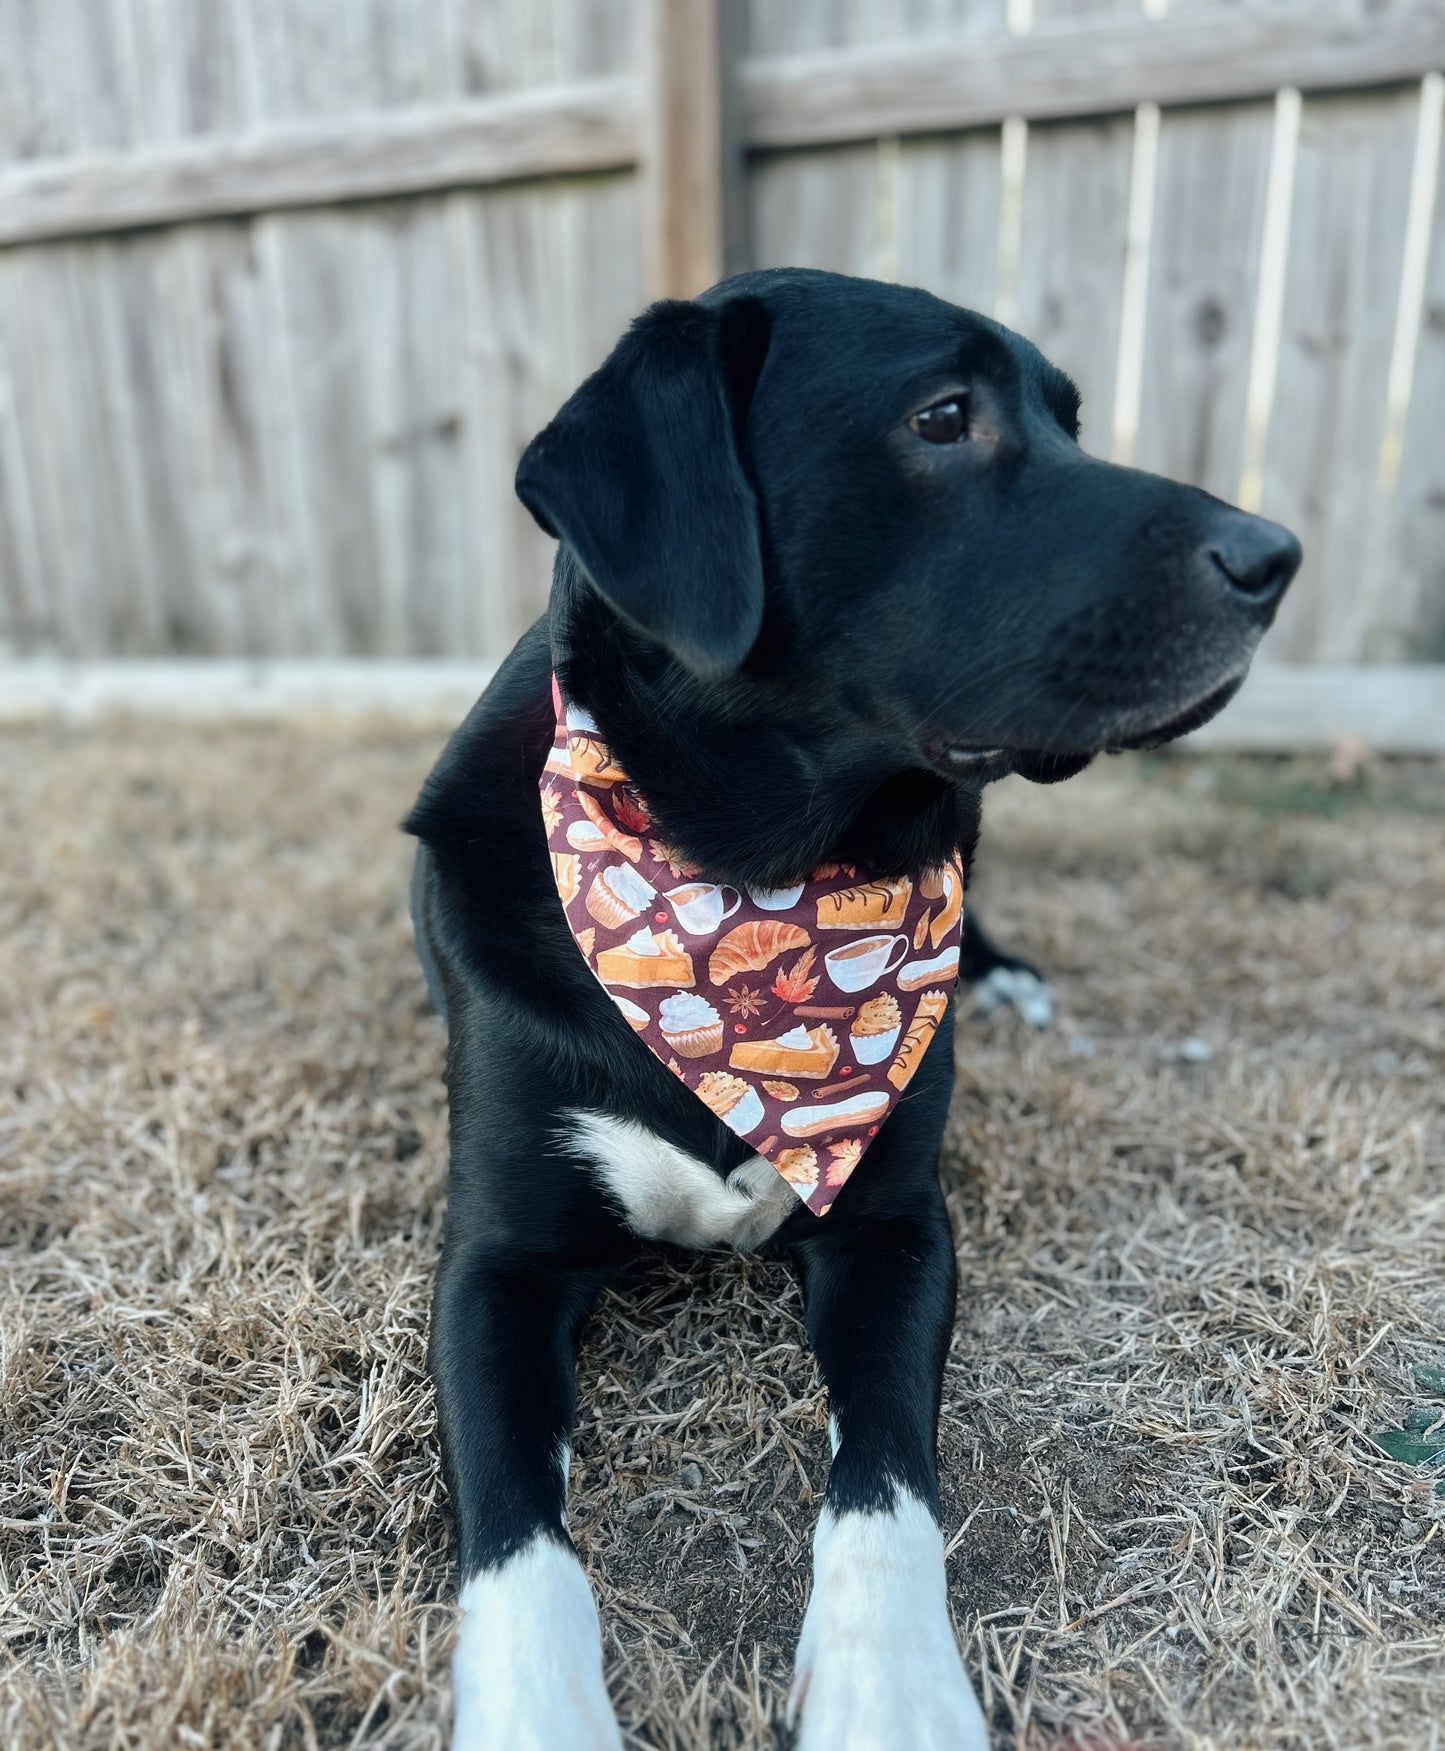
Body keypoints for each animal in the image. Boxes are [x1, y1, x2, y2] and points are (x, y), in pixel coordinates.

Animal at [406, 266, 1296, 1743]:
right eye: (944, 416)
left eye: (1067, 418)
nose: (1276, 555)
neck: (751, 881)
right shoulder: (494, 1266)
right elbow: (519, 1550)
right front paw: (540, 1715)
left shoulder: (895, 1226)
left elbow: (885, 1481)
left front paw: (894, 1689)